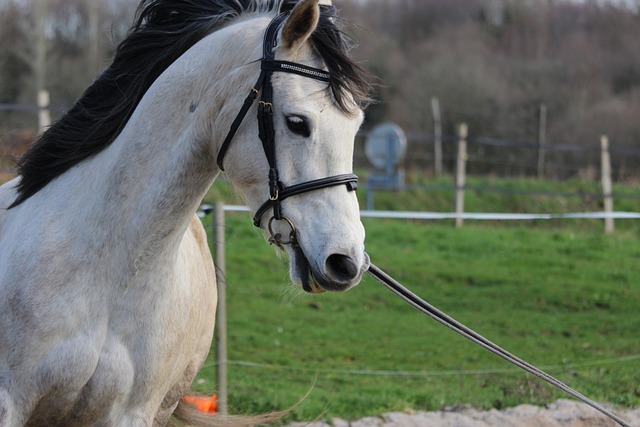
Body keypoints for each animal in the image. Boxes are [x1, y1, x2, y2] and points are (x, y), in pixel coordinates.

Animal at [0, 0, 370, 424]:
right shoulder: (10, 402)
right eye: (297, 122)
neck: (107, 273)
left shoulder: (131, 413)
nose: (347, 262)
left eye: (356, 124)